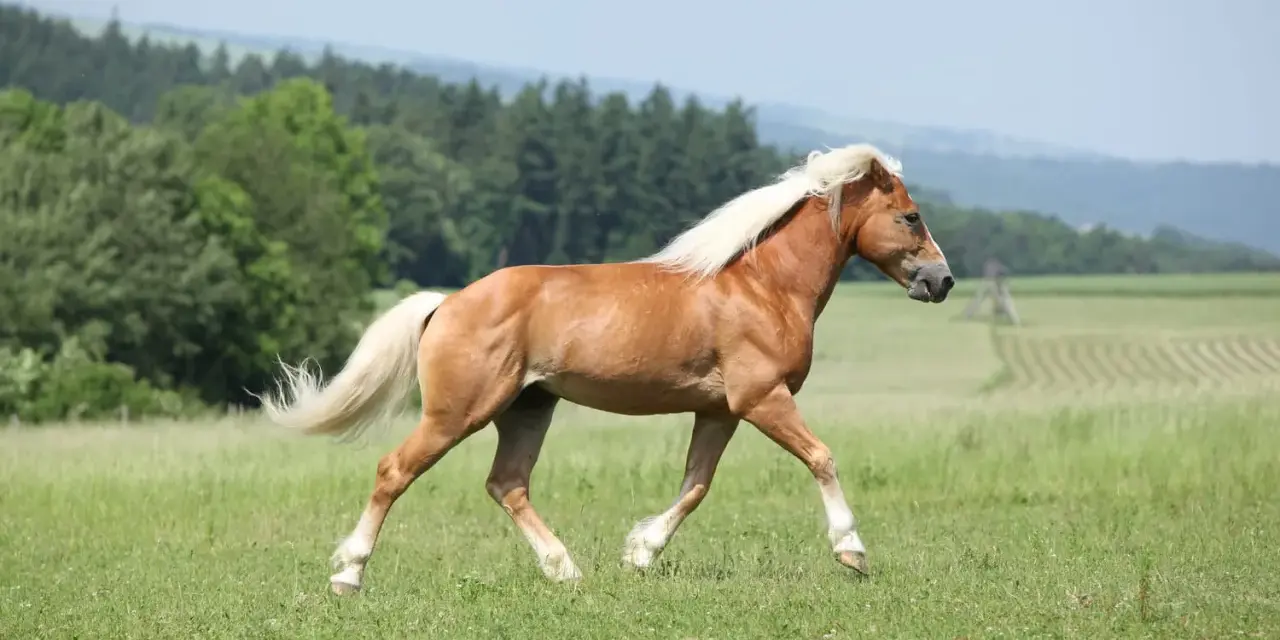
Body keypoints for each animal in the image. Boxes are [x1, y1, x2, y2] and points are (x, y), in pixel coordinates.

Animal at [258, 142, 954, 595]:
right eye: (911, 216)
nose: (941, 281)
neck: (761, 285)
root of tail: (447, 303)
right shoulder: (763, 398)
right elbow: (821, 458)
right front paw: (852, 552)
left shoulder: (720, 410)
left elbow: (695, 486)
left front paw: (640, 554)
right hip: (460, 412)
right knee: (394, 471)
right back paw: (348, 575)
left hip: (528, 409)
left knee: (507, 485)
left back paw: (566, 571)